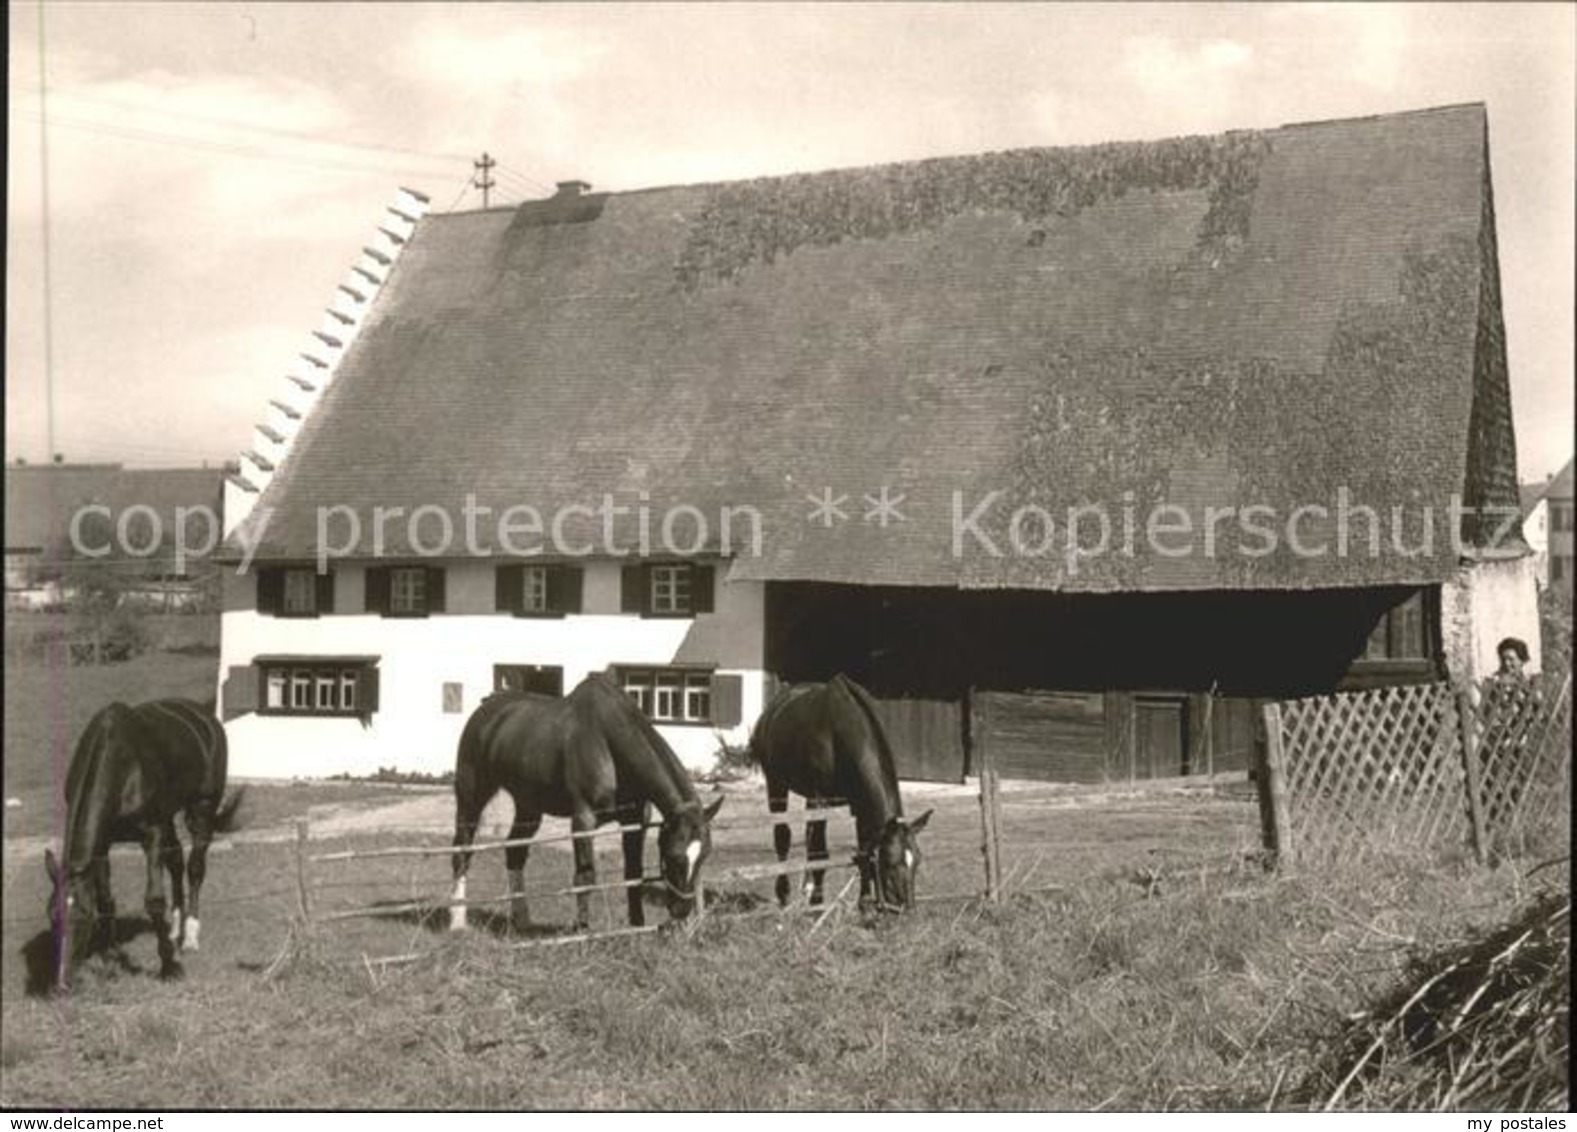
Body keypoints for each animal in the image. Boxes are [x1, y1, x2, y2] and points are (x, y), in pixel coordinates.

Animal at [44, 700, 239, 996]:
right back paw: (175, 929)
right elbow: (106, 900)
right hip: (169, 817)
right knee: (176, 861)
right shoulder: (102, 844)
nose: (62, 985)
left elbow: (154, 900)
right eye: (52, 916)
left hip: (201, 808)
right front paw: (109, 957)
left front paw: (170, 967)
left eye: (82, 917)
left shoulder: (152, 833)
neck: (122, 765)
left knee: (195, 868)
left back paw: (190, 936)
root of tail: (204, 715)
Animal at [451, 677, 725, 933]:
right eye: (674, 855)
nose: (682, 909)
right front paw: (582, 930)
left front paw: (637, 926)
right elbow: (585, 876)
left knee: (515, 851)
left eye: (704, 855)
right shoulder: (583, 820)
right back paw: (456, 920)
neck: (609, 741)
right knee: (462, 850)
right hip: (471, 797)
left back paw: (522, 920)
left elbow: (633, 873)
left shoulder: (635, 820)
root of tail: (486, 709)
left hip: (528, 805)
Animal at [747, 677, 927, 920]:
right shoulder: (819, 800)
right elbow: (820, 853)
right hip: (777, 783)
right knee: (783, 836)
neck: (841, 732)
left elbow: (863, 852)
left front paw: (865, 904)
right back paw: (785, 895)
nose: (907, 911)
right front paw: (817, 905)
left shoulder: (860, 804)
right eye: (890, 862)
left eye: (917, 859)